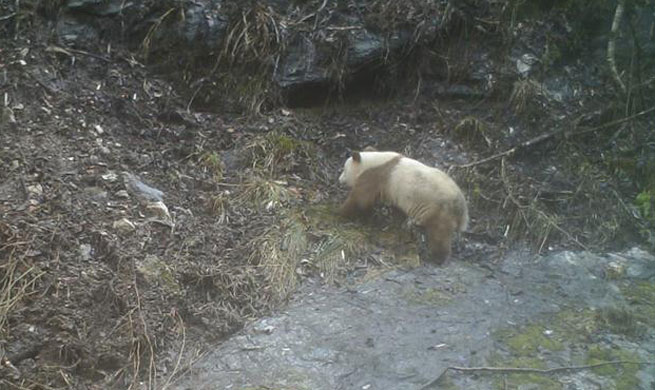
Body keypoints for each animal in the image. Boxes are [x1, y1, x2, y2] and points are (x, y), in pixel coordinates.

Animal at [338, 151, 472, 264]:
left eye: (344, 169)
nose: (339, 179)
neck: (373, 161)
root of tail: (461, 207)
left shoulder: (376, 176)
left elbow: (359, 200)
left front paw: (340, 213)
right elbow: (397, 211)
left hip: (439, 209)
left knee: (439, 234)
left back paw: (437, 257)